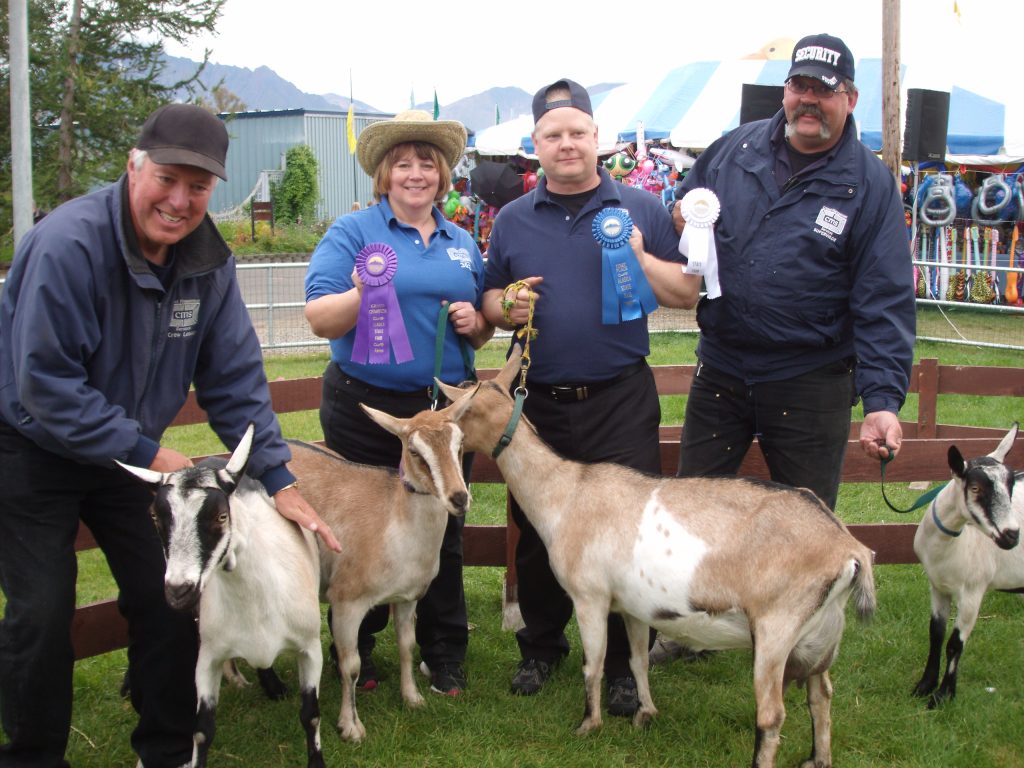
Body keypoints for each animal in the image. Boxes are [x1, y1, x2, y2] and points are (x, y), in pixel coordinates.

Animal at [116, 423, 323, 768]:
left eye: (221, 517)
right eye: (155, 518)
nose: (178, 591)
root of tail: (214, 460)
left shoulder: (310, 648)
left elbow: (311, 716)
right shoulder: (208, 658)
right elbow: (201, 732)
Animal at [286, 399, 473, 741]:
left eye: (460, 443)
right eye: (414, 451)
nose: (459, 498)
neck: (393, 525)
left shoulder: (408, 597)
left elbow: (407, 646)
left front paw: (412, 698)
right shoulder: (346, 602)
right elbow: (351, 666)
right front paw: (350, 727)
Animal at [436, 350, 876, 768]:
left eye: (456, 413)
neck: (566, 492)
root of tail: (848, 548)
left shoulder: (590, 596)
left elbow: (593, 663)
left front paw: (587, 726)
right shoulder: (633, 605)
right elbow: (635, 660)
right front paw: (643, 714)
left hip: (776, 626)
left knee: (771, 715)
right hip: (819, 633)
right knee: (822, 694)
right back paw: (817, 758)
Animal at [917, 423, 1019, 708]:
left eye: (1011, 486)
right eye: (975, 488)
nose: (1012, 535)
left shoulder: (973, 592)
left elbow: (955, 643)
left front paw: (943, 695)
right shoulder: (937, 586)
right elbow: (936, 634)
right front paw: (924, 685)